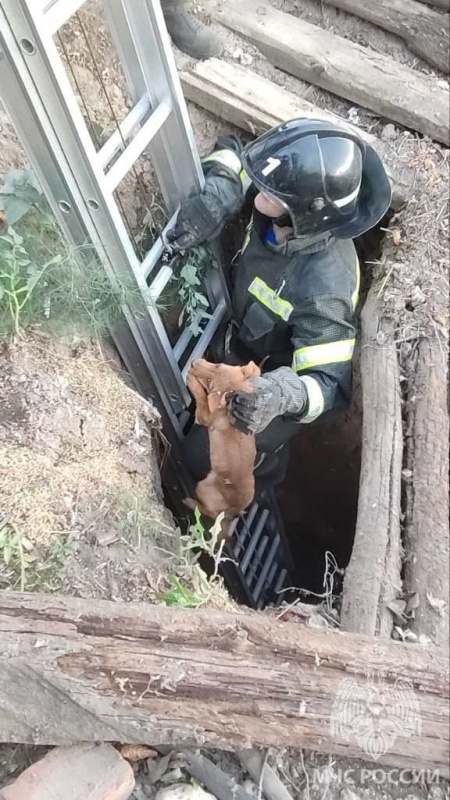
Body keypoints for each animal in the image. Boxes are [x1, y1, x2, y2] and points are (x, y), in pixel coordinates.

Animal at [184, 358, 260, 536]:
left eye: (209, 383)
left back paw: (191, 503)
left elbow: (201, 398)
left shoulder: (204, 417)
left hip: (203, 487)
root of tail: (232, 513)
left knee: (208, 512)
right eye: (218, 365)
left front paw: (192, 381)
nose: (193, 362)